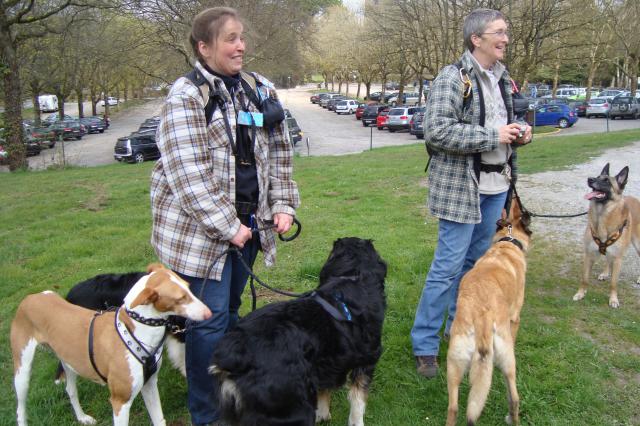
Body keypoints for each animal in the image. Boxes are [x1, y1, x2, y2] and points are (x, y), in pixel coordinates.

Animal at [11, 262, 212, 426]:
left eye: (189, 288)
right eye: (180, 299)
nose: (209, 313)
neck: (134, 332)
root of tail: (32, 296)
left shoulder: (149, 385)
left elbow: (159, 420)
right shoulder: (120, 402)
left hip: (70, 360)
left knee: (70, 389)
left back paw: (82, 417)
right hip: (22, 373)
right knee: (20, 409)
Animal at [444, 196, 528, 426]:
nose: (513, 196)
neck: (507, 242)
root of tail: (482, 317)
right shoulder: (515, 318)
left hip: (455, 364)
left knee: (454, 407)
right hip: (508, 362)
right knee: (514, 398)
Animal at [576, 162, 640, 306]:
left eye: (607, 181)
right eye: (597, 176)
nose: (590, 179)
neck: (602, 216)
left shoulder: (618, 259)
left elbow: (614, 283)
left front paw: (613, 299)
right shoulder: (588, 254)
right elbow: (584, 278)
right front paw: (580, 293)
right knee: (607, 259)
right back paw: (605, 273)